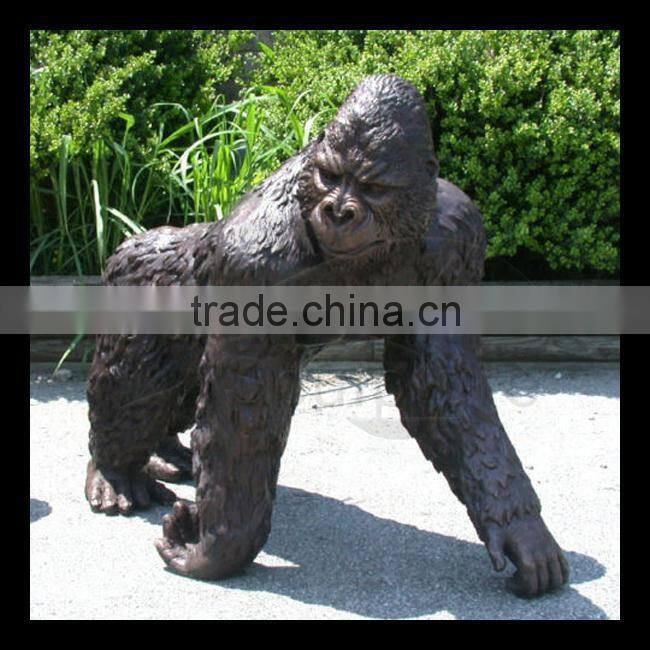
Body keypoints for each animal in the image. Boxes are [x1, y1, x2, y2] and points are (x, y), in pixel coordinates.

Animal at [85, 75, 569, 598]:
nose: (339, 211)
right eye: (331, 177)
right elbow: (243, 416)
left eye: (374, 186)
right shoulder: (254, 261)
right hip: (142, 286)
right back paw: (114, 471)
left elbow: (446, 388)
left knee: (172, 398)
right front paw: (217, 549)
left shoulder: (458, 241)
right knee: (131, 386)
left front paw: (520, 530)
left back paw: (168, 449)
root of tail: (135, 244)